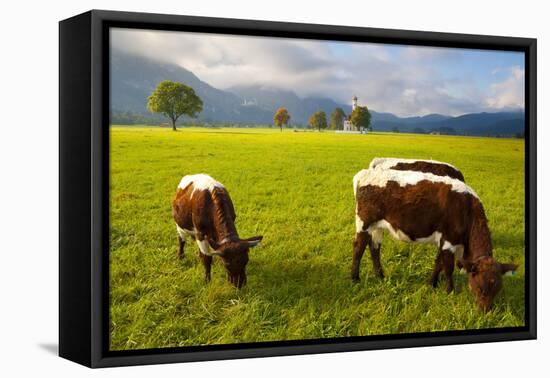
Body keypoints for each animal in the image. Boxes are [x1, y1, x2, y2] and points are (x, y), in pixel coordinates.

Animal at [354, 170, 516, 312]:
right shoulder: (449, 240)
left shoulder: (443, 240)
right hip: (364, 222)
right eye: (480, 288)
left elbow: (438, 263)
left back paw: (380, 276)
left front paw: (431, 284)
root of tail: (365, 173)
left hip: (377, 226)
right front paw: (450, 291)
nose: (486, 311)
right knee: (358, 248)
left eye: (498, 289)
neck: (467, 209)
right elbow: (448, 267)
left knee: (374, 247)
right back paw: (355, 278)